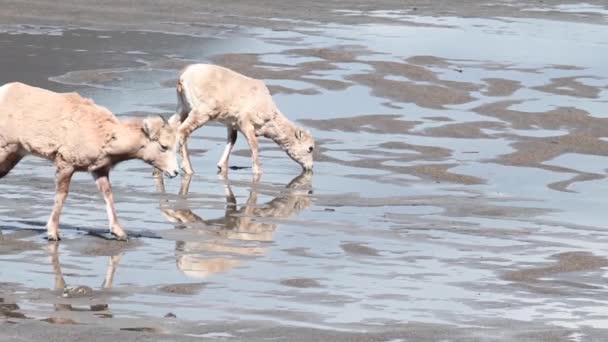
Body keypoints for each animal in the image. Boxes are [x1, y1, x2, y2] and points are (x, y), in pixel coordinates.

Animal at [0, 82, 179, 240]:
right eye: (163, 146)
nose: (175, 172)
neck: (103, 135)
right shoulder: (66, 165)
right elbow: (61, 195)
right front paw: (53, 233)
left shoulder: (99, 170)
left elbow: (108, 195)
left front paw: (119, 233)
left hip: (13, 155)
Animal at [170, 63, 314, 176]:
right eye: (310, 148)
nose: (310, 167)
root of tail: (183, 77)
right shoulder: (245, 123)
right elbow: (254, 145)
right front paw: (258, 171)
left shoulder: (231, 124)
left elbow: (232, 140)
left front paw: (222, 166)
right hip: (201, 113)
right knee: (183, 131)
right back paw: (188, 169)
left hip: (182, 108)